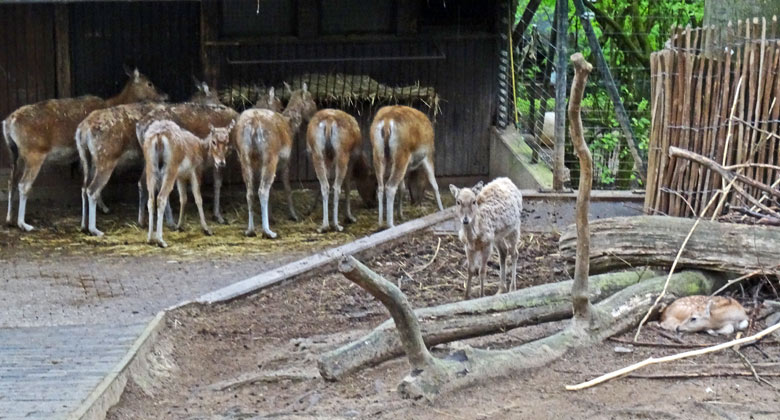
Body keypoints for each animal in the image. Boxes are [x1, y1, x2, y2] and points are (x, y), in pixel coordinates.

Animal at [3, 69, 166, 233]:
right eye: (149, 83)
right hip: (34, 153)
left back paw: (9, 219)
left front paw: (101, 208)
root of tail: (7, 123)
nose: (165, 96)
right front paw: (104, 208)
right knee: (24, 184)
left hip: (14, 154)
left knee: (11, 181)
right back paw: (24, 224)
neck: (112, 102)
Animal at [143, 120, 233, 248]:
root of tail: (159, 135)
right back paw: (161, 240)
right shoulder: (195, 171)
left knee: (150, 200)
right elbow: (198, 198)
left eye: (227, 141)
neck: (202, 153)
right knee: (161, 198)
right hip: (170, 168)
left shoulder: (180, 177)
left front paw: (179, 226)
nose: (221, 162)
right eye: (214, 141)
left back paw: (150, 238)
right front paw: (207, 229)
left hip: (150, 167)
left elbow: (183, 198)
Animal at [233, 83, 316, 238]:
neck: (290, 127)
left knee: (250, 191)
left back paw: (250, 230)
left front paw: (272, 217)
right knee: (262, 190)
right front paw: (294, 215)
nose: (315, 113)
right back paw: (268, 231)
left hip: (244, 156)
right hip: (269, 156)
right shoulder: (285, 161)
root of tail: (253, 124)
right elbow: (287, 187)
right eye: (311, 98)